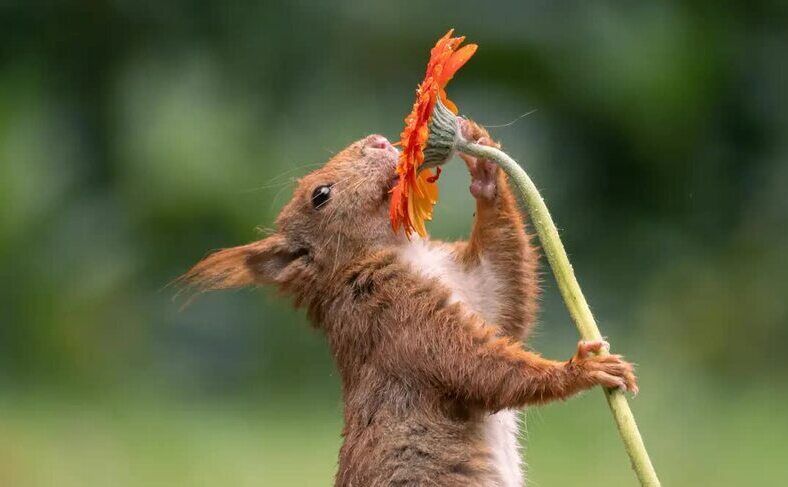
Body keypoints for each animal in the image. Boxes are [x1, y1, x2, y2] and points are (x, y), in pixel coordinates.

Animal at [182, 119, 636, 487]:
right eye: (320, 195)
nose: (379, 140)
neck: (401, 251)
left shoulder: (473, 288)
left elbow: (504, 296)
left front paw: (484, 167)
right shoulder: (393, 316)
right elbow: (474, 366)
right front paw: (584, 368)